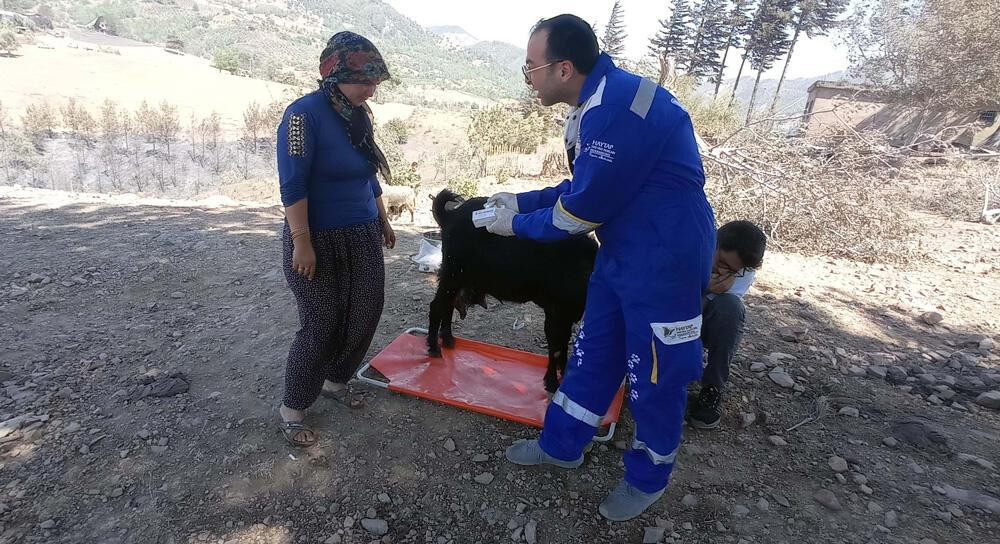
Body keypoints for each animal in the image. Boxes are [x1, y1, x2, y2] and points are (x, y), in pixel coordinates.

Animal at [428, 189, 596, 394]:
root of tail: (450, 216)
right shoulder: (556, 312)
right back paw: (434, 348)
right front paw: (551, 384)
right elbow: (556, 348)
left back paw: (448, 340)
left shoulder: (567, 315)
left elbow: (563, 346)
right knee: (437, 306)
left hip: (459, 278)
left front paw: (561, 377)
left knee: (448, 305)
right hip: (452, 272)